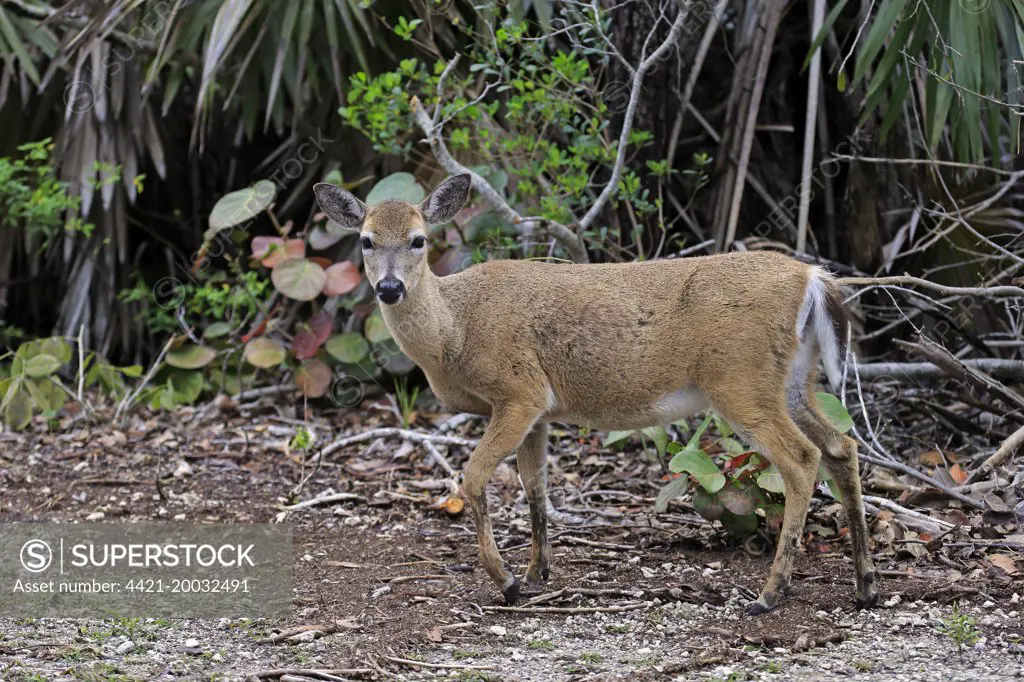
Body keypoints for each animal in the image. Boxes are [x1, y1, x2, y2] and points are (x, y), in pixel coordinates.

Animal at [313, 173, 880, 614]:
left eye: (418, 240)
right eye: (365, 241)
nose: (389, 289)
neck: (455, 330)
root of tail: (814, 277)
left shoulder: (518, 390)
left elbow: (472, 479)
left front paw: (508, 581)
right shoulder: (539, 409)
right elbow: (535, 487)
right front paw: (538, 572)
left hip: (740, 378)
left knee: (801, 459)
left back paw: (769, 594)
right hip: (795, 380)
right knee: (841, 445)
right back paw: (865, 586)